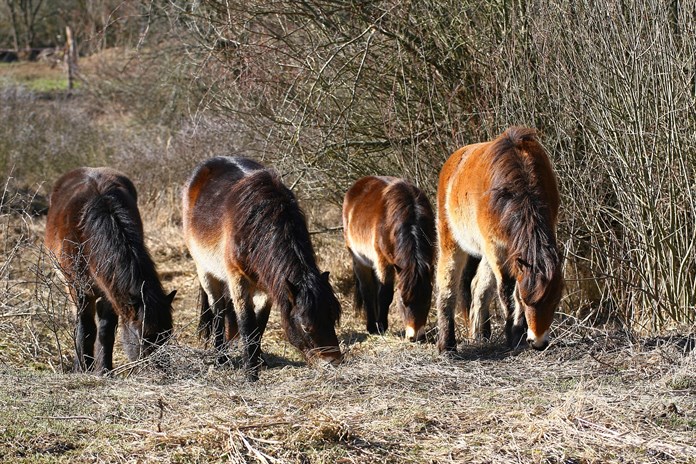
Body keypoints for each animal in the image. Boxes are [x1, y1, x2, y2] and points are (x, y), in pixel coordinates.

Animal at [44, 167, 176, 373]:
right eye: (144, 337)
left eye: (167, 335)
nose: (162, 371)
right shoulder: (79, 289)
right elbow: (85, 329)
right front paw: (82, 368)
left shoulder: (110, 292)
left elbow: (106, 331)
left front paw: (104, 370)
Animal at [182, 157, 342, 380]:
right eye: (306, 327)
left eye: (333, 318)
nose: (334, 363)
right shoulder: (238, 281)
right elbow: (247, 324)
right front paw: (251, 374)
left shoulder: (266, 287)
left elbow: (260, 325)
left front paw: (258, 361)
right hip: (205, 272)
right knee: (218, 311)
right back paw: (220, 358)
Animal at [343, 176, 436, 341]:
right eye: (403, 301)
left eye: (427, 300)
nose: (416, 337)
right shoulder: (384, 262)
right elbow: (385, 294)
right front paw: (382, 326)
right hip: (359, 260)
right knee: (367, 291)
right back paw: (372, 326)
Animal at [435, 127, 563, 353]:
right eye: (526, 300)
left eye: (556, 301)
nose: (538, 342)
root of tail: (453, 160)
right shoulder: (497, 249)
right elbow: (507, 291)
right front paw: (514, 336)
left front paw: (517, 333)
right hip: (451, 242)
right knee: (447, 286)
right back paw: (447, 344)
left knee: (478, 287)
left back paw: (481, 335)